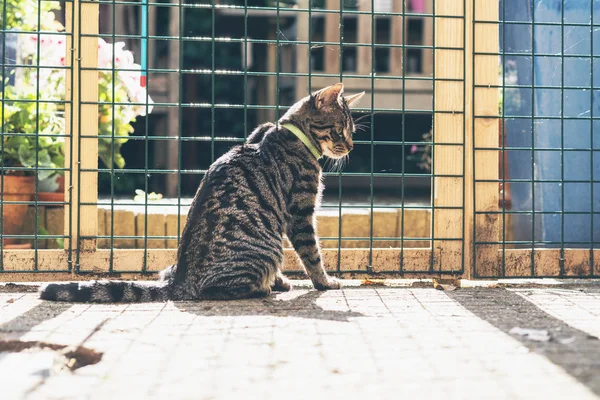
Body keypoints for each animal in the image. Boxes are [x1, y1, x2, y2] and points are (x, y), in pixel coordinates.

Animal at [41, 84, 366, 304]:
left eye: (351, 132)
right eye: (339, 130)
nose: (351, 147)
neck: (289, 133)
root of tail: (180, 283)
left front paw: (289, 281)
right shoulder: (300, 212)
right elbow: (312, 254)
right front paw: (325, 282)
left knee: (167, 273)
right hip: (268, 248)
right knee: (218, 289)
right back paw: (263, 286)